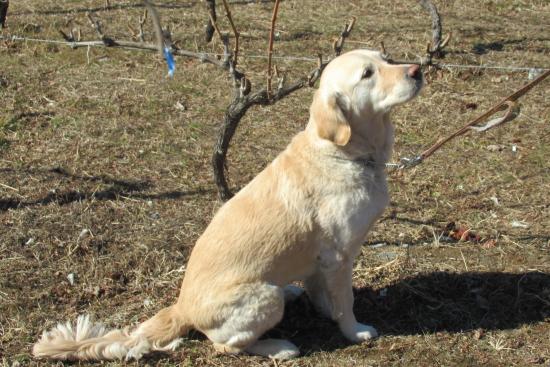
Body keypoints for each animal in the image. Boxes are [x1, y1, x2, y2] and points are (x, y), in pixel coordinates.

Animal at [32, 49, 424, 362]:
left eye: (386, 58)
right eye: (367, 74)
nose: (417, 70)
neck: (347, 154)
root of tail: (181, 307)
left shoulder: (320, 260)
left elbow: (321, 292)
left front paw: (323, 308)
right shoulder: (339, 256)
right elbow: (346, 302)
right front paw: (354, 331)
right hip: (263, 298)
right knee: (226, 345)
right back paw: (278, 347)